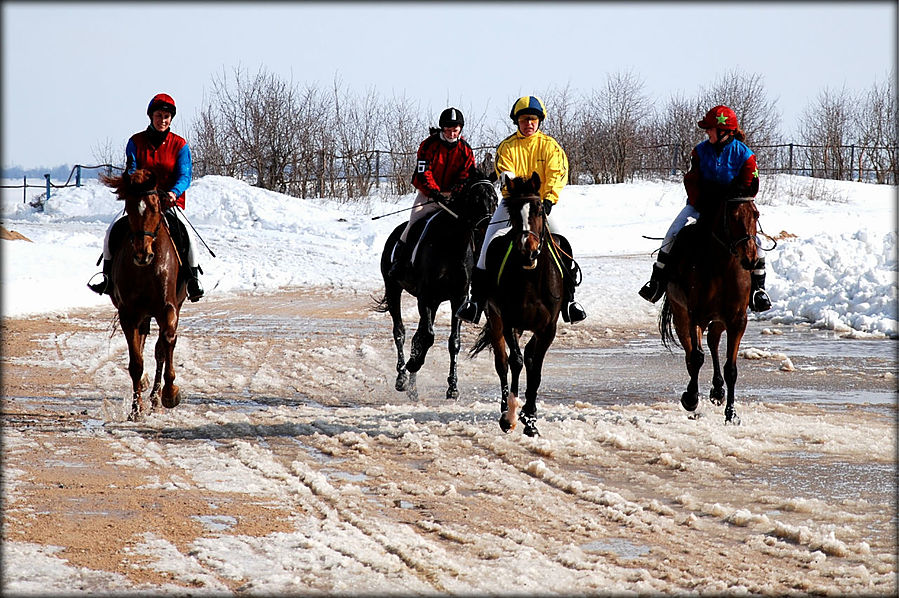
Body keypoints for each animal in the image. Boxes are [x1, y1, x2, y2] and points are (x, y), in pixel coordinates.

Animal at [101, 169, 187, 422]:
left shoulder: (167, 308)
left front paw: (170, 393)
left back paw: (157, 399)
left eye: (155, 205)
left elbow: (166, 343)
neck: (146, 269)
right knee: (143, 345)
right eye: (128, 207)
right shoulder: (128, 314)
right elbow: (136, 362)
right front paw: (135, 410)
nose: (142, 254)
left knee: (161, 349)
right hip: (142, 315)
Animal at [656, 197, 764, 426]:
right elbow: (697, 357)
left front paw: (731, 413)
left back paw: (717, 390)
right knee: (691, 353)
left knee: (713, 341)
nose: (750, 259)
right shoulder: (695, 315)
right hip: (681, 315)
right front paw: (690, 398)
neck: (721, 267)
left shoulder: (737, 320)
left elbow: (731, 369)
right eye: (732, 216)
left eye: (756, 214)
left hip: (719, 320)